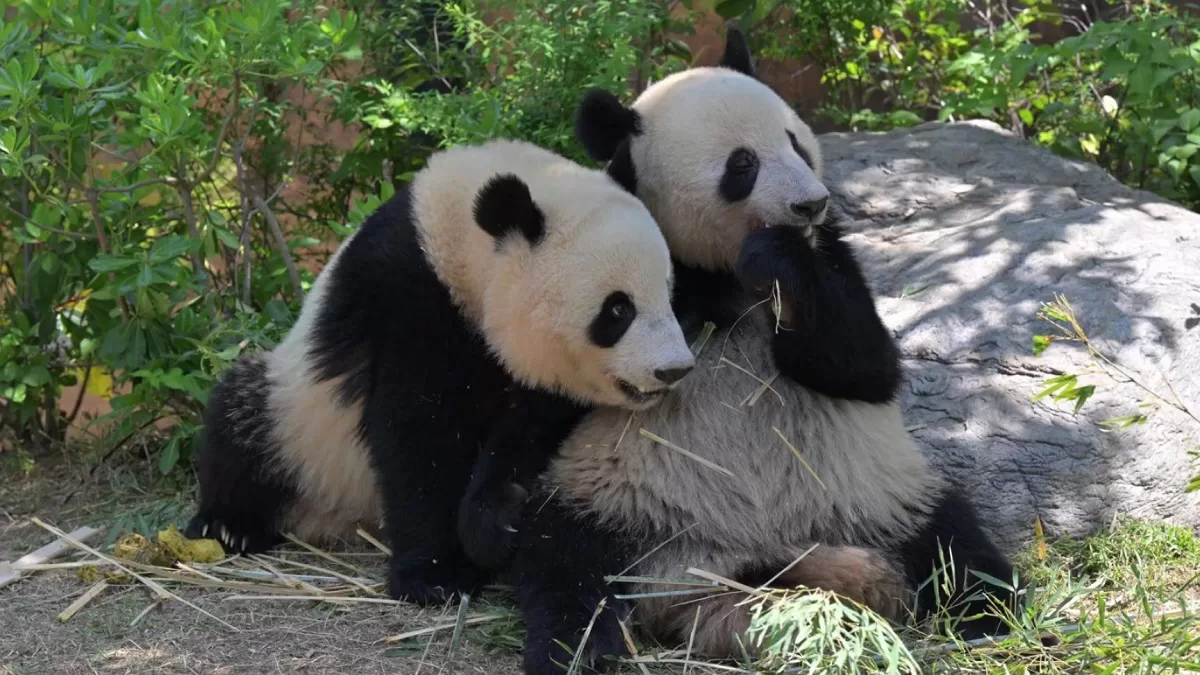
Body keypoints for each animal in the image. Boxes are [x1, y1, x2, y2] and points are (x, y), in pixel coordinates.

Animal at [184, 138, 696, 603]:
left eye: (669, 293)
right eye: (617, 310)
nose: (674, 369)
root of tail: (341, 519)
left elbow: (528, 431)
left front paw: (496, 521)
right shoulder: (408, 295)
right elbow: (418, 432)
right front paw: (436, 576)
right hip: (295, 413)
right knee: (240, 421)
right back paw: (229, 526)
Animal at [511, 25, 1019, 673]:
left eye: (796, 142)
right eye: (743, 164)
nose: (811, 202)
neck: (726, 268)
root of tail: (729, 563)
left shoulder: (832, 255)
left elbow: (865, 367)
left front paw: (779, 264)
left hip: (874, 497)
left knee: (950, 537)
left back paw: (989, 613)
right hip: (616, 495)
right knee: (563, 558)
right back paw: (575, 647)